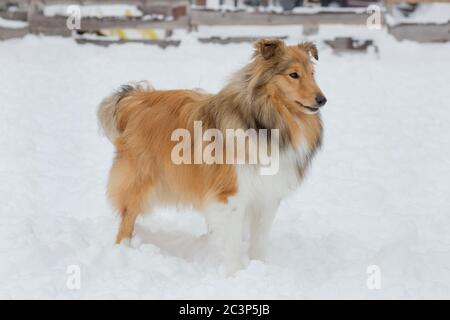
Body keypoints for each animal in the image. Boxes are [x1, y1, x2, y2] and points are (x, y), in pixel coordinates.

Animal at [98, 38, 326, 274]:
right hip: (140, 180)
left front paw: (259, 267)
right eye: (294, 75)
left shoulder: (268, 195)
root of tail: (136, 98)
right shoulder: (232, 194)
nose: (322, 100)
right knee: (127, 217)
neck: (266, 121)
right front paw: (235, 273)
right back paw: (123, 250)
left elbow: (259, 240)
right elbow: (233, 240)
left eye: (312, 73)